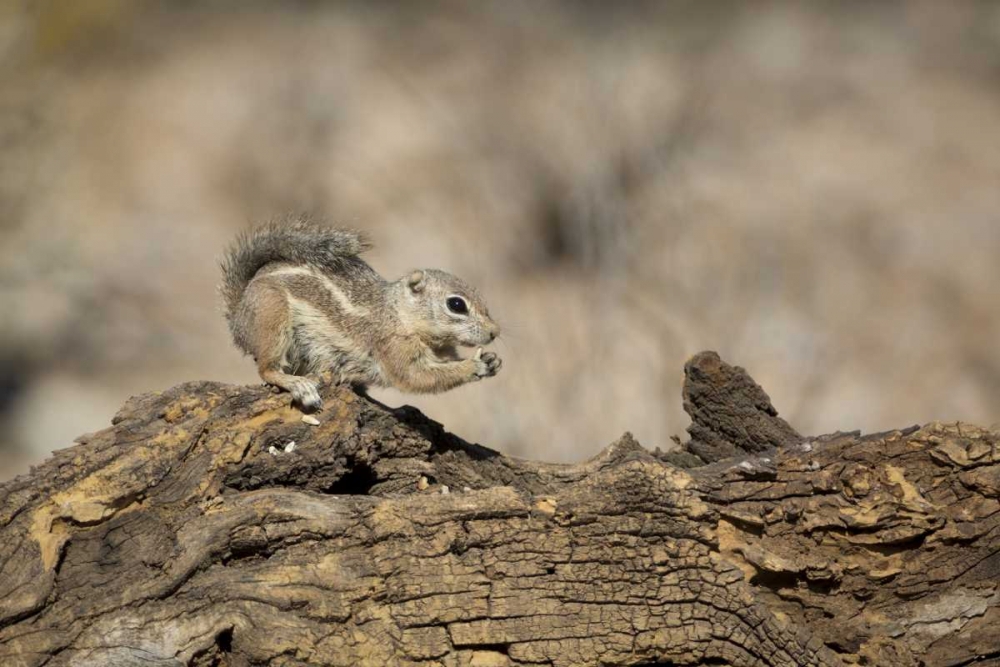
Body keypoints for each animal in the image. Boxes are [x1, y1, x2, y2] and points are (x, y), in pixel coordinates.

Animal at [219, 216, 502, 410]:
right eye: (456, 305)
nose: (495, 332)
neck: (399, 315)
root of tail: (238, 317)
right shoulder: (392, 347)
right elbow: (416, 377)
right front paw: (474, 365)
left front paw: (492, 360)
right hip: (273, 321)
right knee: (267, 369)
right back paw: (300, 385)